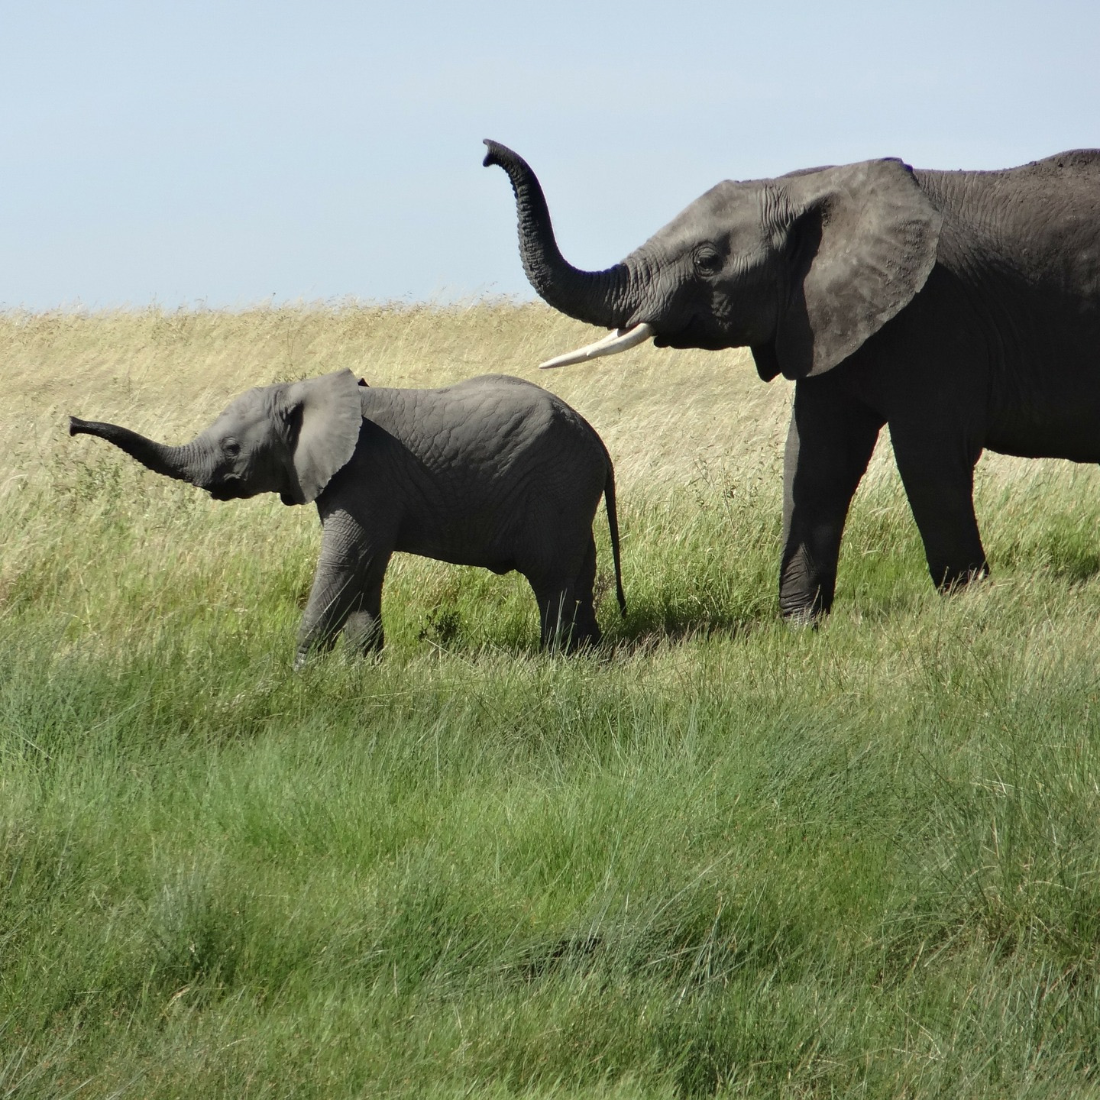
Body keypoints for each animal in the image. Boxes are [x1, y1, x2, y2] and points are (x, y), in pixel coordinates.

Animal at [70, 370, 625, 662]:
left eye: (231, 448)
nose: (73, 423)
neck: (306, 390)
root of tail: (599, 445)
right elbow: (366, 568)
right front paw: (364, 666)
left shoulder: (365, 474)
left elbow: (345, 561)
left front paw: (300, 670)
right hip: (571, 494)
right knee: (580, 570)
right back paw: (592, 656)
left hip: (557, 487)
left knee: (552, 577)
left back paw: (557, 660)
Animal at [484, 139, 1100, 620]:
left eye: (706, 260)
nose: (488, 151)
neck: (812, 186)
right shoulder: (822, 315)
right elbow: (815, 460)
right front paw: (801, 626)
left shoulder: (937, 314)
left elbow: (930, 457)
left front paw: (969, 608)